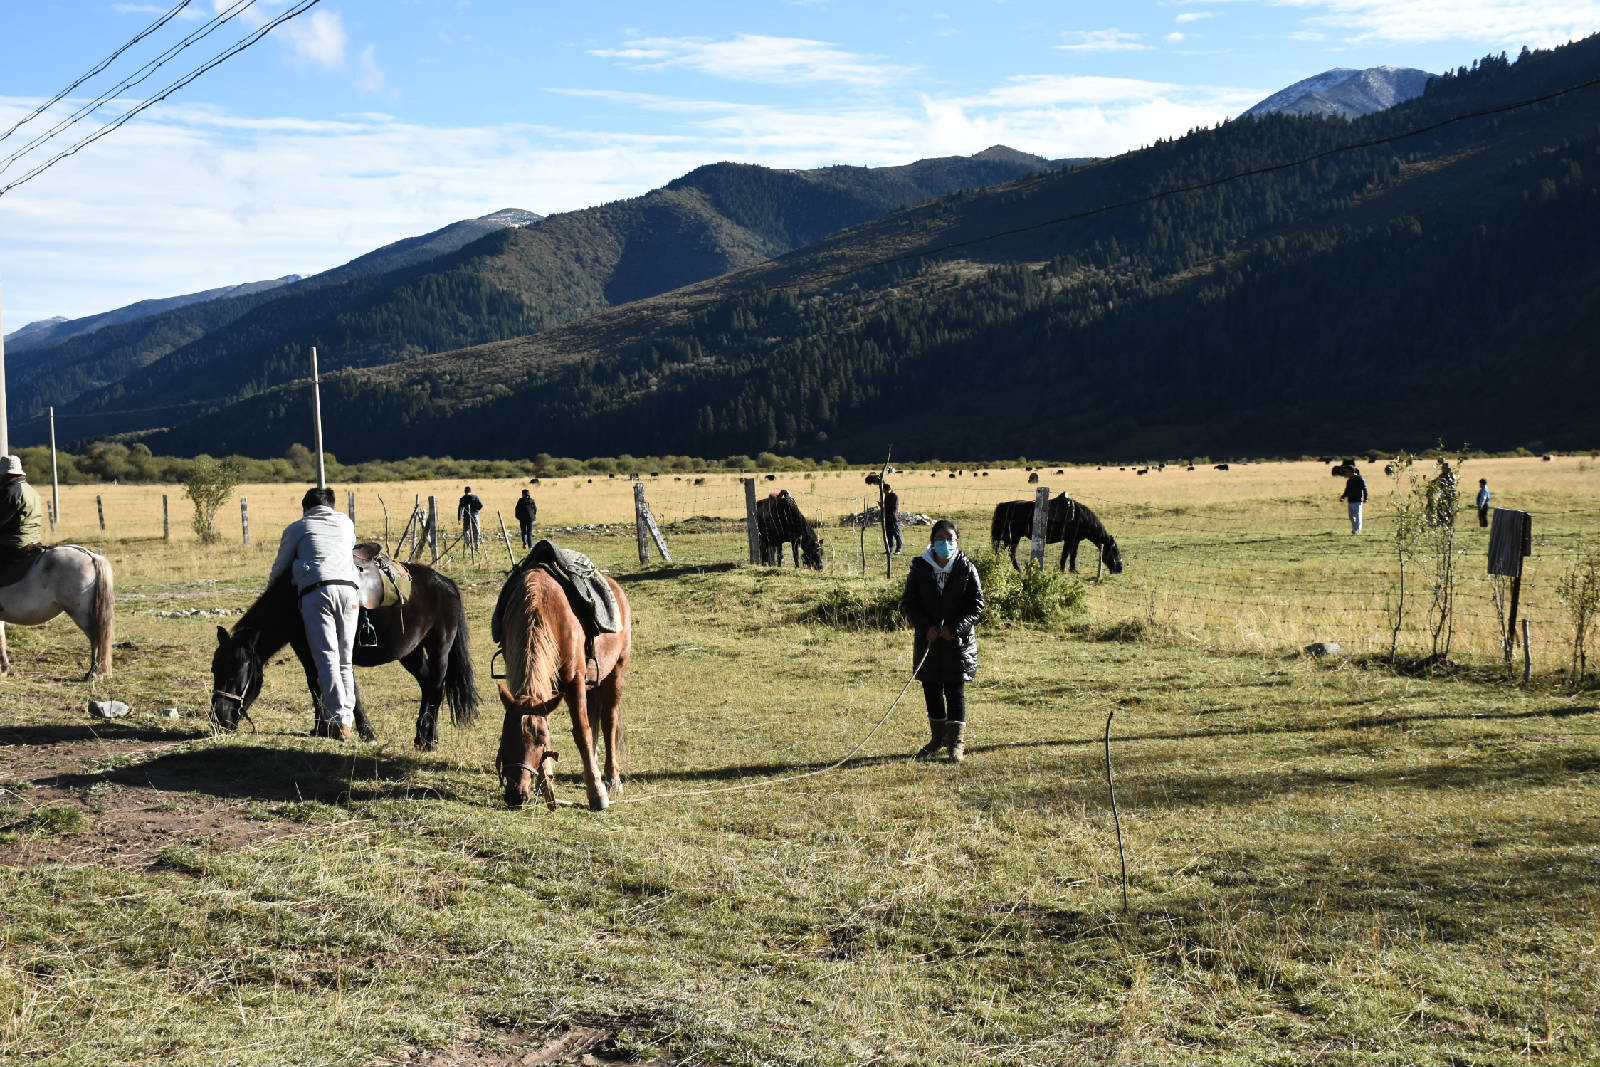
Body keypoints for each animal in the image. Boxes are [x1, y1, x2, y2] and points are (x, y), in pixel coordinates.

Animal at [0, 546, 115, 679]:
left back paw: (93, 672)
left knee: (95, 638)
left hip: (80, 614)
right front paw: (4, 668)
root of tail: (90, 555)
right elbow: (2, 640)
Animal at [209, 561, 477, 750]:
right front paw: (320, 728)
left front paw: (366, 733)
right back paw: (428, 736)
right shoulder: (306, 651)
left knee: (436, 688)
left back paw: (426, 741)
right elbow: (315, 686)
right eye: (214, 669)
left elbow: (349, 690)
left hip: (439, 649)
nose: (218, 717)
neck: (295, 602)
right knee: (428, 687)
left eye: (238, 673)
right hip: (411, 653)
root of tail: (447, 584)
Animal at [494, 566, 631, 811]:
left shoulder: (574, 681)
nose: (516, 795)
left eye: (539, 742)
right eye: (504, 738)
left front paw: (596, 792)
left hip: (616, 671)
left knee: (609, 722)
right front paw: (544, 783)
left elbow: (582, 733)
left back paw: (611, 777)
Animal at [989, 494, 1125, 575]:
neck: (1082, 518)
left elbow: (1072, 554)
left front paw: (1072, 569)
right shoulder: (1070, 539)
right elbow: (1067, 554)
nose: (1120, 568)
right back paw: (1018, 569)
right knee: (1010, 553)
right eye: (1114, 550)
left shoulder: (1075, 540)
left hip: (1009, 537)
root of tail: (1004, 505)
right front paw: (1063, 570)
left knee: (1003, 552)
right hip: (1014, 537)